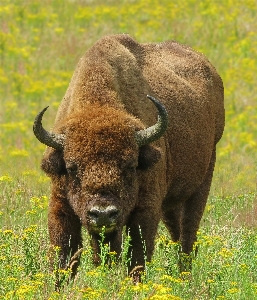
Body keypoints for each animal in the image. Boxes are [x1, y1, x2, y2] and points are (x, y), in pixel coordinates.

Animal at [32, 34, 224, 284]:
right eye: (72, 167)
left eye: (130, 166)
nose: (103, 213)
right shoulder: (61, 206)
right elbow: (64, 257)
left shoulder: (145, 209)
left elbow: (137, 256)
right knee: (176, 232)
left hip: (202, 181)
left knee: (187, 236)